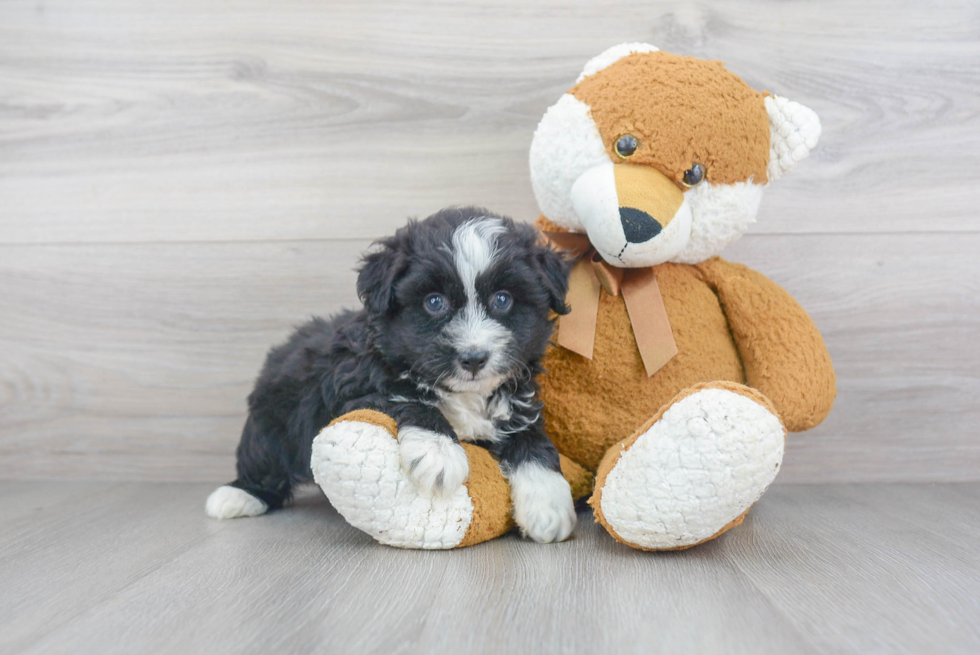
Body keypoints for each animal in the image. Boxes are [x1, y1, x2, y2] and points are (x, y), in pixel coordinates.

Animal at [204, 209, 580, 544]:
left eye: (503, 300)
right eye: (434, 302)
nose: (474, 358)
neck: (462, 393)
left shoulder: (518, 406)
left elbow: (535, 443)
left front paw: (548, 506)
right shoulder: (354, 391)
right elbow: (406, 398)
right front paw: (438, 452)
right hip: (270, 422)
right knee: (262, 461)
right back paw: (236, 496)